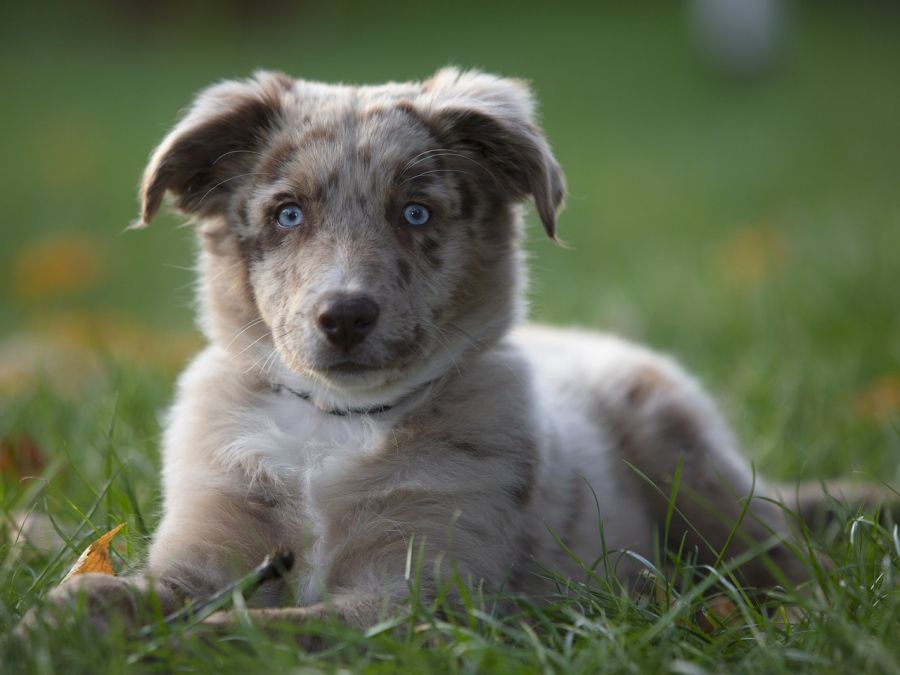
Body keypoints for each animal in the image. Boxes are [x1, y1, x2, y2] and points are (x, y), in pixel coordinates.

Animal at [42, 67, 856, 632]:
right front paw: (53, 625)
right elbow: (113, 591)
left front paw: (199, 640)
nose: (344, 316)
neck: (334, 424)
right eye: (287, 214)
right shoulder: (203, 551)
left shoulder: (416, 593)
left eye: (416, 213)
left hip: (692, 466)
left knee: (784, 558)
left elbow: (271, 631)